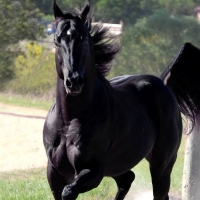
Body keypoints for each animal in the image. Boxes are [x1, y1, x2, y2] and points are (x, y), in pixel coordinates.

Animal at [43, 0, 200, 199]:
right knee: (127, 179)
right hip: (119, 165)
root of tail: (162, 82)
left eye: (84, 39)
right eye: (57, 40)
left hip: (161, 165)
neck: (69, 121)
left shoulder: (94, 171)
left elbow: (69, 191)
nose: (74, 81)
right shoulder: (54, 173)